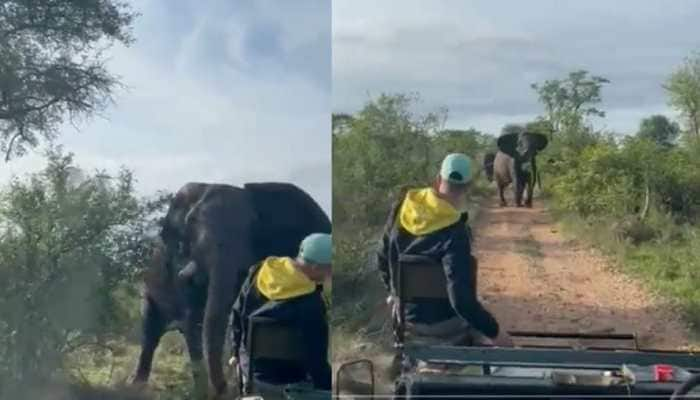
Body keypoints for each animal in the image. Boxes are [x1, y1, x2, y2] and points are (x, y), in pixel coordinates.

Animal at [132, 181, 334, 396]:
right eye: (192, 222)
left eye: (253, 224)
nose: (225, 388)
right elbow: (192, 319)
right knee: (151, 333)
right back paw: (137, 387)